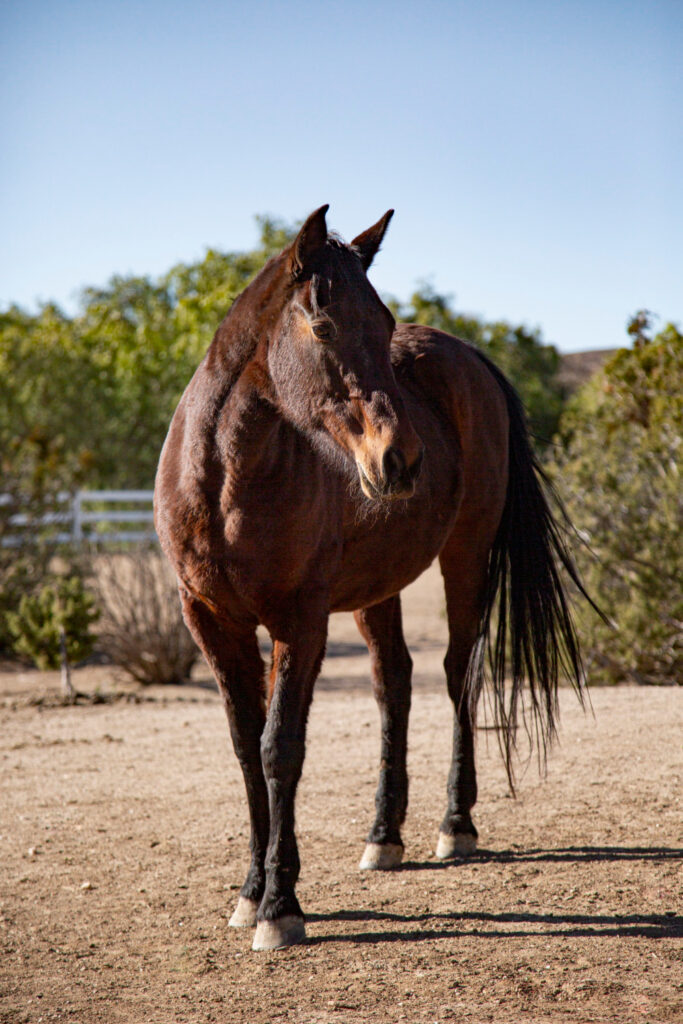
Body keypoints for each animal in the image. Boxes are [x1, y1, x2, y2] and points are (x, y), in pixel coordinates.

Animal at [154, 205, 589, 950]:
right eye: (324, 326)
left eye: (384, 327)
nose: (401, 459)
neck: (221, 483)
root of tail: (470, 358)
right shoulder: (211, 620)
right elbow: (245, 748)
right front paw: (251, 892)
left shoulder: (298, 622)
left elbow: (280, 749)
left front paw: (280, 906)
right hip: (377, 588)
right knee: (395, 683)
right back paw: (384, 836)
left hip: (465, 556)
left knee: (458, 673)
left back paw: (454, 825)